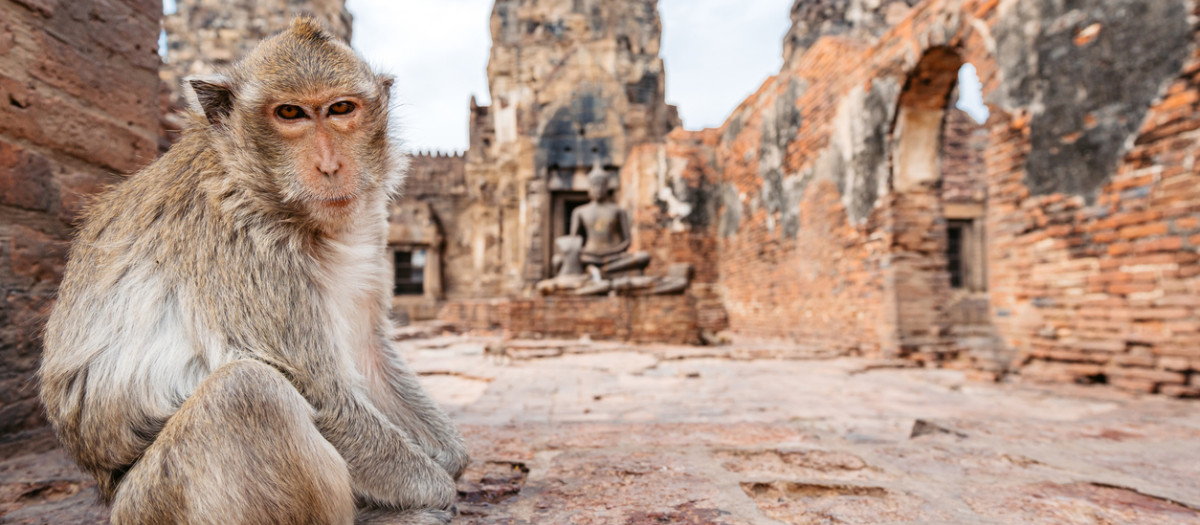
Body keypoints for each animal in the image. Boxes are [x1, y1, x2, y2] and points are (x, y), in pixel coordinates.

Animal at [38, 17, 468, 525]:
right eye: (290, 113)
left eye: (341, 108)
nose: (330, 166)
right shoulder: (243, 244)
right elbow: (321, 396)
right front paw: (439, 490)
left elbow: (367, 350)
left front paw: (452, 457)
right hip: (152, 506)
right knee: (247, 392)